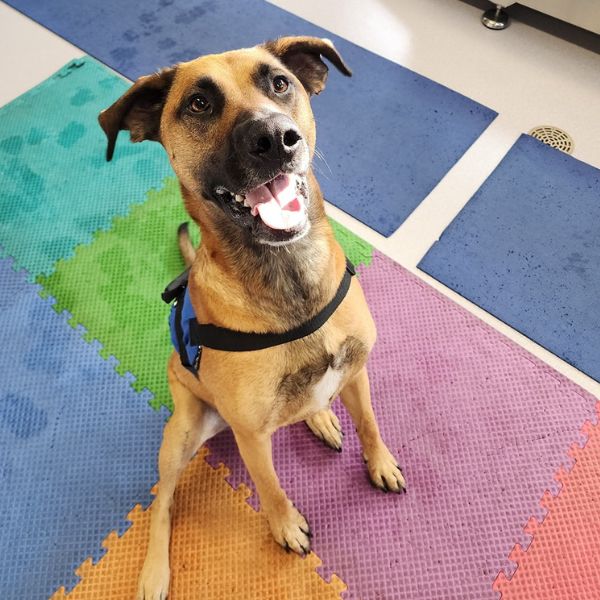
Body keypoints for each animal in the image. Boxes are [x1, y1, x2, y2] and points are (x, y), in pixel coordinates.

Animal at [99, 37, 408, 600]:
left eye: (279, 83)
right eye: (199, 104)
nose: (275, 139)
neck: (289, 283)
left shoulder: (356, 370)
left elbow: (370, 424)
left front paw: (379, 463)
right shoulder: (251, 437)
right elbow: (270, 487)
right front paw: (286, 526)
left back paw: (321, 416)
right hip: (182, 433)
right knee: (161, 503)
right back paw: (154, 573)